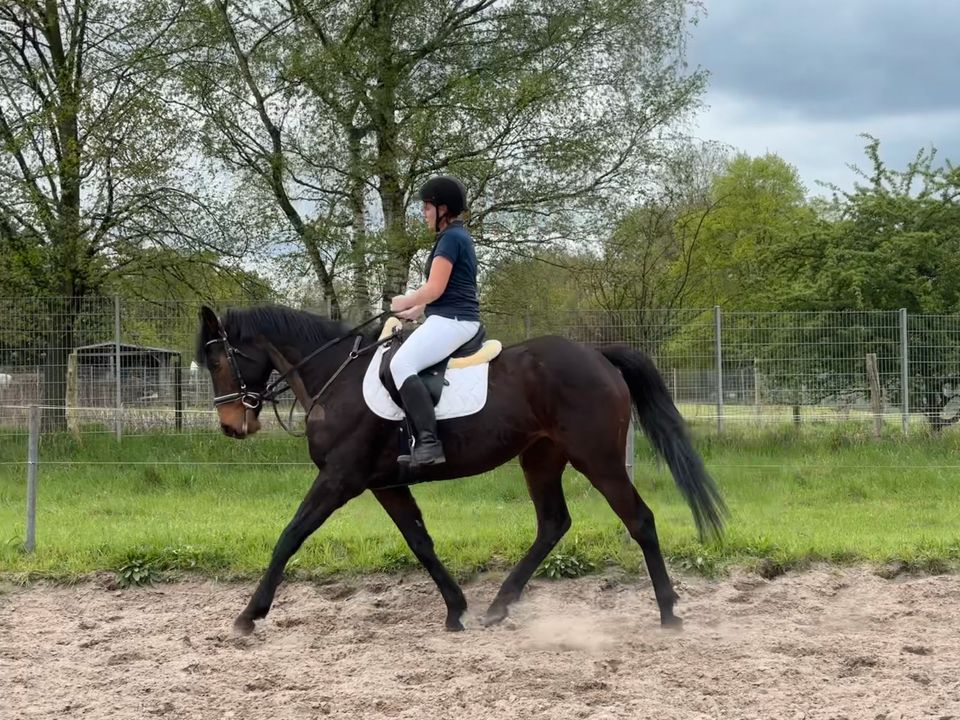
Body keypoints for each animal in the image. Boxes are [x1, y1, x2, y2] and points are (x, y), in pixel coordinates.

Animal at [199, 304, 732, 636]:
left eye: (218, 361)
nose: (231, 425)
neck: (337, 376)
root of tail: (597, 356)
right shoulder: (385, 485)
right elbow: (420, 542)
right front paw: (456, 610)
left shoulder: (339, 479)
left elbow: (290, 535)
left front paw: (250, 615)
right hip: (541, 457)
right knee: (553, 523)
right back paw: (498, 606)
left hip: (596, 458)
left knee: (638, 520)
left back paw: (668, 613)